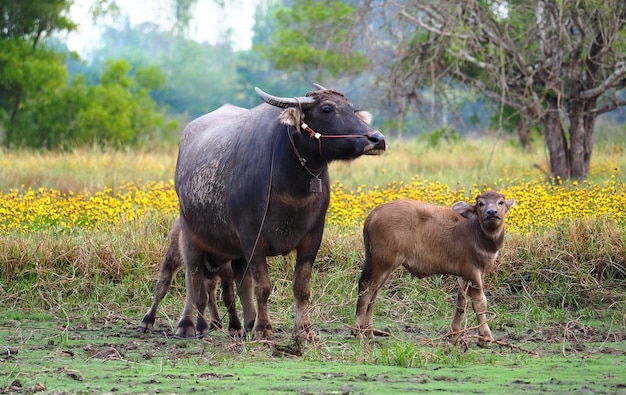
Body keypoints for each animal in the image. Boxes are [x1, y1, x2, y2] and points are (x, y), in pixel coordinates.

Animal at [173, 85, 382, 342]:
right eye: (327, 109)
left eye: (352, 109)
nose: (377, 139)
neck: (292, 186)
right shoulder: (252, 238)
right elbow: (263, 286)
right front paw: (264, 329)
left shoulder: (313, 237)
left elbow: (301, 287)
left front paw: (304, 330)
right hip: (191, 233)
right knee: (193, 277)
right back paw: (187, 325)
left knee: (242, 282)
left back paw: (247, 324)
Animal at [354, 193, 516, 342]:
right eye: (481, 203)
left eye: (500, 202)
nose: (491, 212)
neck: (477, 233)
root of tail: (373, 214)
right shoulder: (472, 272)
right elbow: (480, 302)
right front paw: (486, 336)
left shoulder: (466, 274)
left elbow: (461, 302)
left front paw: (453, 334)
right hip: (381, 262)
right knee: (365, 289)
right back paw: (357, 332)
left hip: (384, 266)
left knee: (374, 294)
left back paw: (369, 333)